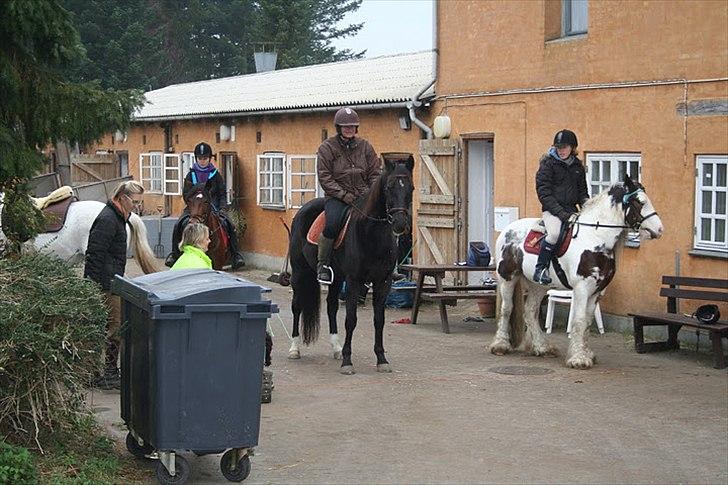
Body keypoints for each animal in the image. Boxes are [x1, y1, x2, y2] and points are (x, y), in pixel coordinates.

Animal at [492, 176, 664, 368]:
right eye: (639, 202)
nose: (659, 230)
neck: (595, 238)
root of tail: (508, 229)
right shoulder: (582, 288)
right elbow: (579, 320)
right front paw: (578, 358)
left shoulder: (597, 291)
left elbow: (587, 322)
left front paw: (586, 353)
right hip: (507, 277)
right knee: (507, 309)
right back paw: (500, 345)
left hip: (538, 286)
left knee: (530, 311)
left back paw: (542, 348)